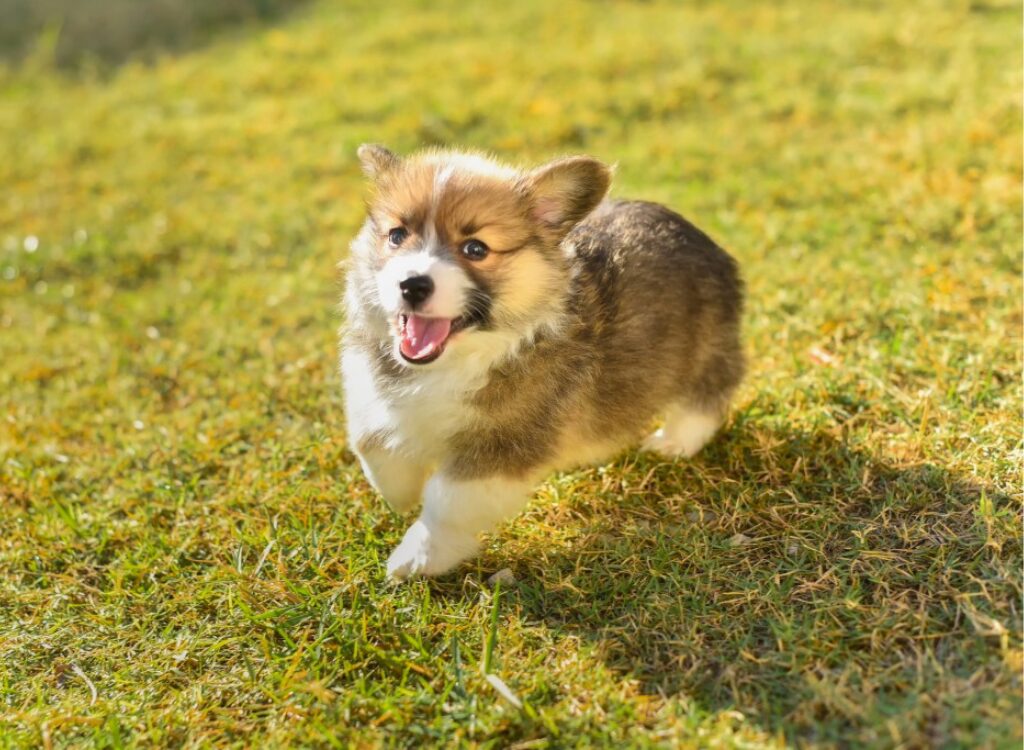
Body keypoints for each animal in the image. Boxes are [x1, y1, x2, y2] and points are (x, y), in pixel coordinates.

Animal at [342, 146, 745, 581]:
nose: (412, 285)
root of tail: (703, 238)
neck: (462, 357)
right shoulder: (375, 394)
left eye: (475, 249)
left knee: (708, 395)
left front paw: (416, 558)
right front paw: (401, 495)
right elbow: (371, 445)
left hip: (705, 348)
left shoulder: (504, 445)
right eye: (397, 235)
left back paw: (674, 441)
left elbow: (447, 502)